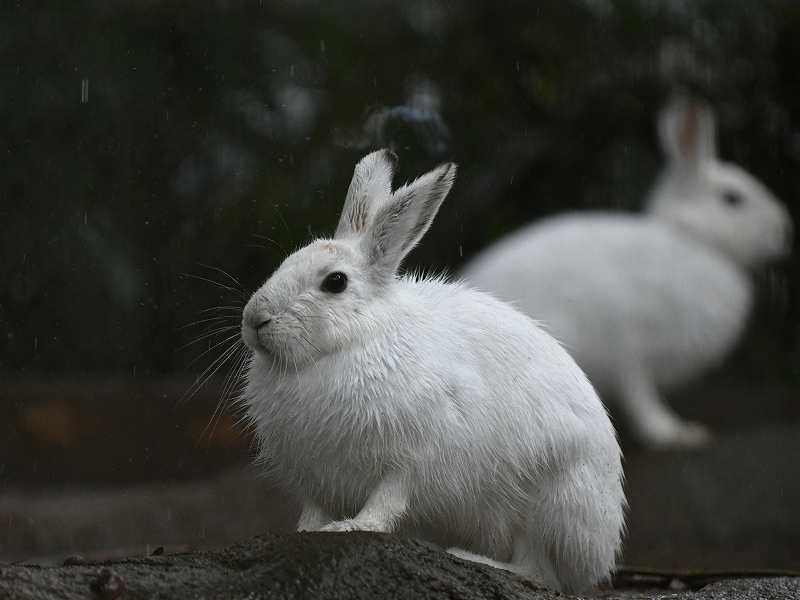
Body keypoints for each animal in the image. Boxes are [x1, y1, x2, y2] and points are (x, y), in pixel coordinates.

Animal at [241, 151, 628, 596]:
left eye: (335, 282)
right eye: (287, 262)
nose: (254, 320)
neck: (351, 341)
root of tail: (601, 554)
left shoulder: (413, 459)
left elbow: (387, 502)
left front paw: (349, 528)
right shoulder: (319, 479)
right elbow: (313, 511)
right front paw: (305, 532)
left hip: (547, 499)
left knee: (536, 571)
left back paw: (468, 557)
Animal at [460, 96, 792, 448]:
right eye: (732, 198)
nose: (785, 231)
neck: (694, 239)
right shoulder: (633, 349)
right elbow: (641, 396)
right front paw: (673, 433)